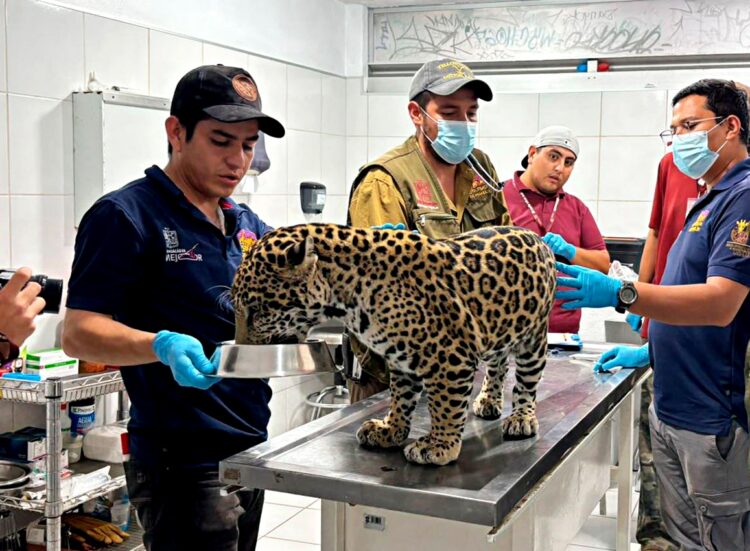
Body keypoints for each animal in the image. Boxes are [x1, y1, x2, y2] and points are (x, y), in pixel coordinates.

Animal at [231, 223, 556, 466]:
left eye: (257, 311)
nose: (243, 346)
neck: (346, 297)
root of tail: (537, 238)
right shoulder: (402, 360)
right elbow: (401, 398)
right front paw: (391, 431)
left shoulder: (450, 359)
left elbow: (445, 405)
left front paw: (439, 446)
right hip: (497, 328)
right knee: (498, 365)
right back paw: (488, 400)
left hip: (534, 338)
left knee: (526, 383)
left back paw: (521, 418)